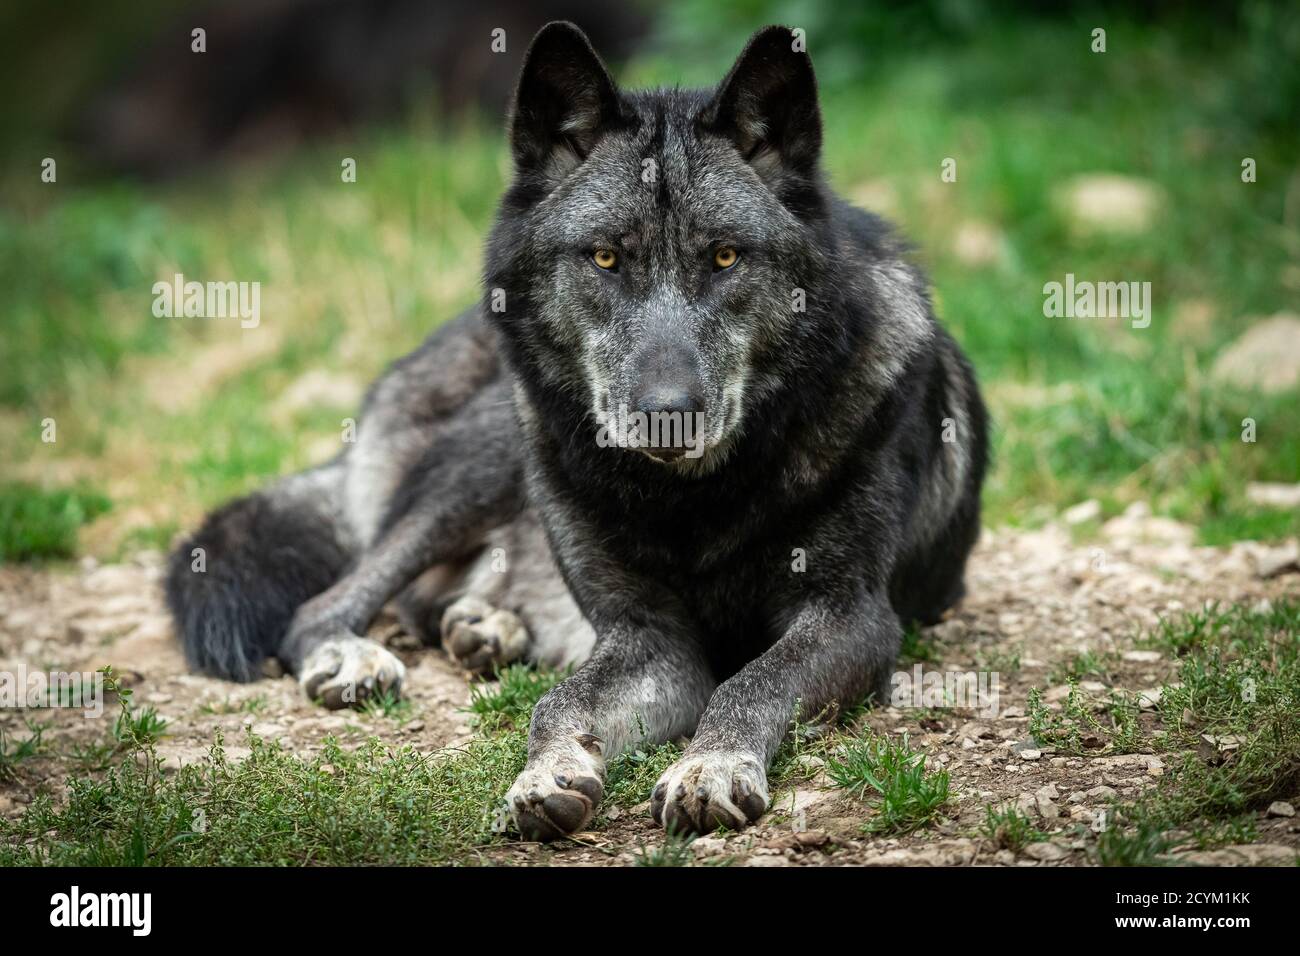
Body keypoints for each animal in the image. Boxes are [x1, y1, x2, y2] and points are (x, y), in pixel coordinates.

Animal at [166, 22, 988, 840]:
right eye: (605, 257)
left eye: (725, 256)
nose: (667, 412)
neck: (692, 503)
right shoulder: (647, 638)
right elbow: (558, 703)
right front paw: (546, 772)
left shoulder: (852, 618)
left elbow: (755, 680)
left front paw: (710, 767)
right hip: (495, 454)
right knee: (334, 602)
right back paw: (357, 653)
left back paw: (488, 627)